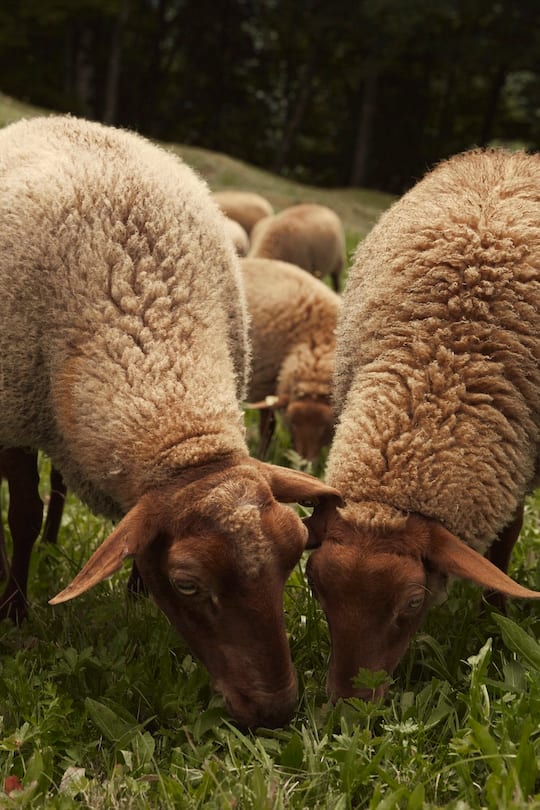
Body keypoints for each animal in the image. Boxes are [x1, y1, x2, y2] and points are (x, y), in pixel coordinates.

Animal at [242, 257, 340, 462]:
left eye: (324, 426)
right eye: (293, 423)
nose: (304, 463)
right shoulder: (266, 387)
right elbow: (267, 429)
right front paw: (262, 455)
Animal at [305, 147, 540, 701]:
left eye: (412, 603)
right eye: (314, 586)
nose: (350, 708)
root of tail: (510, 156)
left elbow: (507, 539)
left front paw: (495, 620)